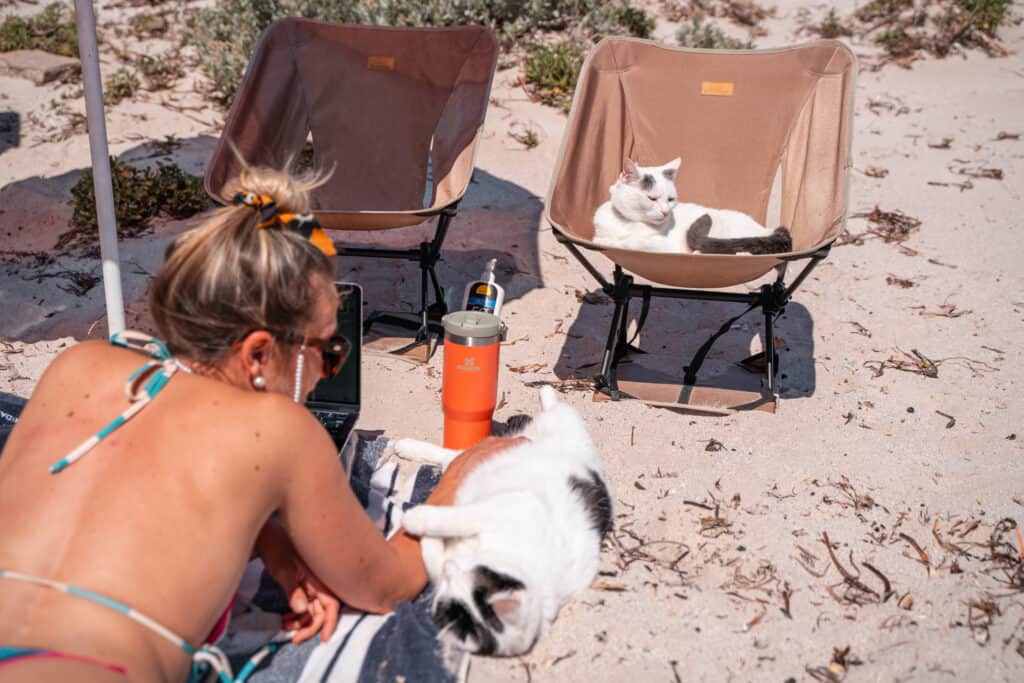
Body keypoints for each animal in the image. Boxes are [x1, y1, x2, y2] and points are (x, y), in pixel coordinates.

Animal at [395, 387, 610, 655]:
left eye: (448, 607)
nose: (451, 569)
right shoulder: (512, 505)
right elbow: (456, 518)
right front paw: (418, 517)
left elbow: (432, 554)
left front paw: (416, 521)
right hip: (561, 427)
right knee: (555, 408)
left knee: (450, 458)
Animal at [593, 157, 790, 255]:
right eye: (652, 198)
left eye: (671, 199)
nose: (665, 212)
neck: (628, 224)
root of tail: (768, 230)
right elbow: (601, 240)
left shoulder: (664, 247)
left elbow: (632, 243)